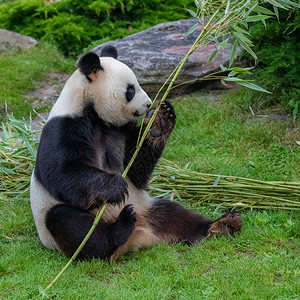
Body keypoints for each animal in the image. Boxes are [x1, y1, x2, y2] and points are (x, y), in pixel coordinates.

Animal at [29, 45, 241, 260]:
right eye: (130, 90)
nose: (148, 104)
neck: (94, 113)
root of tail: (139, 235)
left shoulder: (119, 130)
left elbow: (135, 167)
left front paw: (161, 122)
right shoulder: (64, 126)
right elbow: (61, 171)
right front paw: (115, 186)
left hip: (147, 207)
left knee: (175, 214)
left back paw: (222, 225)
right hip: (58, 224)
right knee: (69, 224)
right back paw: (119, 229)